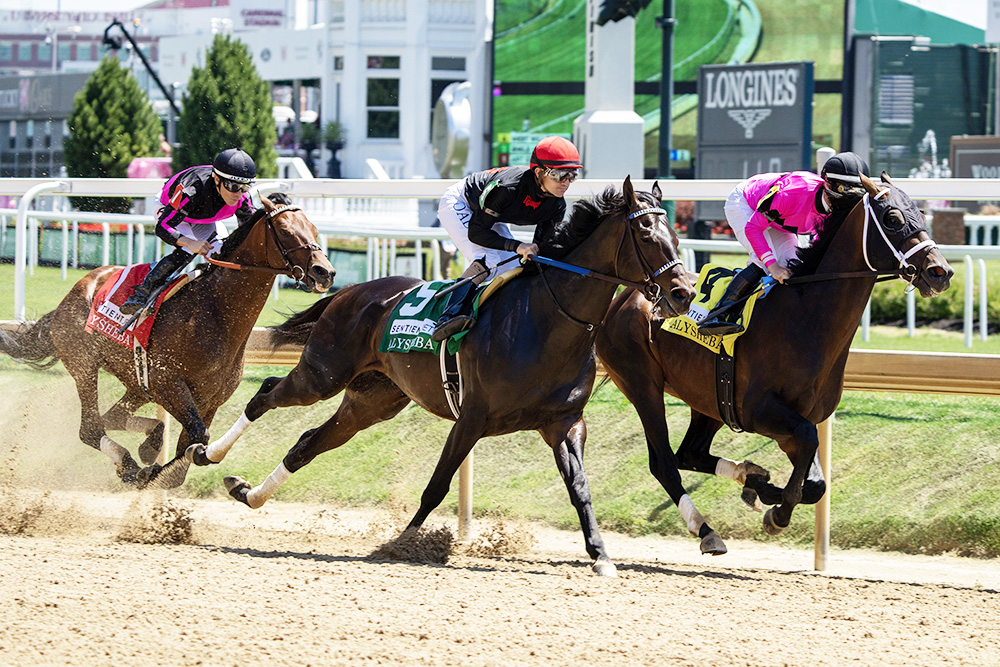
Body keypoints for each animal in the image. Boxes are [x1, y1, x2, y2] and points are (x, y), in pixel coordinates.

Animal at [0, 193, 336, 490]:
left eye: (314, 229)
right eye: (285, 230)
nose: (325, 272)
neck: (214, 313)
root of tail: (72, 294)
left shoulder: (208, 400)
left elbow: (185, 459)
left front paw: (155, 465)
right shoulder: (169, 383)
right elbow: (198, 441)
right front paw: (146, 472)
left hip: (137, 382)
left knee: (114, 416)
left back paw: (147, 447)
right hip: (85, 366)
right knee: (91, 427)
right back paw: (130, 463)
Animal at [193, 179, 696, 580]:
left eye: (675, 234)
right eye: (646, 234)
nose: (683, 293)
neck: (548, 320)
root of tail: (350, 290)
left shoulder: (565, 422)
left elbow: (581, 490)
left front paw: (601, 555)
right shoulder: (471, 419)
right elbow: (436, 486)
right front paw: (401, 544)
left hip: (372, 401)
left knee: (307, 442)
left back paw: (249, 493)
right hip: (323, 373)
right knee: (264, 395)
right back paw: (207, 453)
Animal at [592, 172, 952, 552]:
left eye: (921, 214)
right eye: (893, 218)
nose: (940, 271)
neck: (806, 315)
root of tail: (622, 299)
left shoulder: (792, 422)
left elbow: (816, 483)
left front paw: (762, 492)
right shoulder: (759, 410)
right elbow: (808, 448)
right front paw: (776, 513)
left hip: (709, 400)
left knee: (689, 453)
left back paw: (747, 476)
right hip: (643, 386)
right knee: (664, 462)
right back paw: (708, 530)